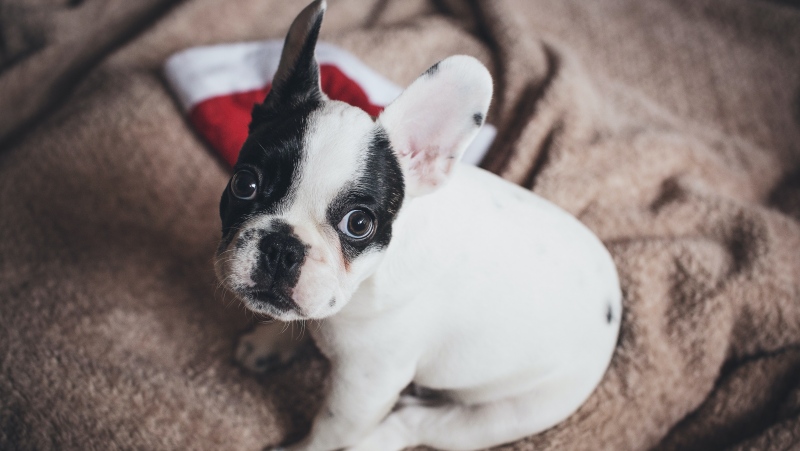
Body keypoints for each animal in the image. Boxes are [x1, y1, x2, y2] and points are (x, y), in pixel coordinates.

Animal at [216, 1, 620, 450]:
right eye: (244, 184)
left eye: (359, 223)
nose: (282, 247)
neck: (363, 284)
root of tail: (614, 309)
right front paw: (267, 342)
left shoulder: (365, 385)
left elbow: (327, 431)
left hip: (507, 414)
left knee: (415, 423)